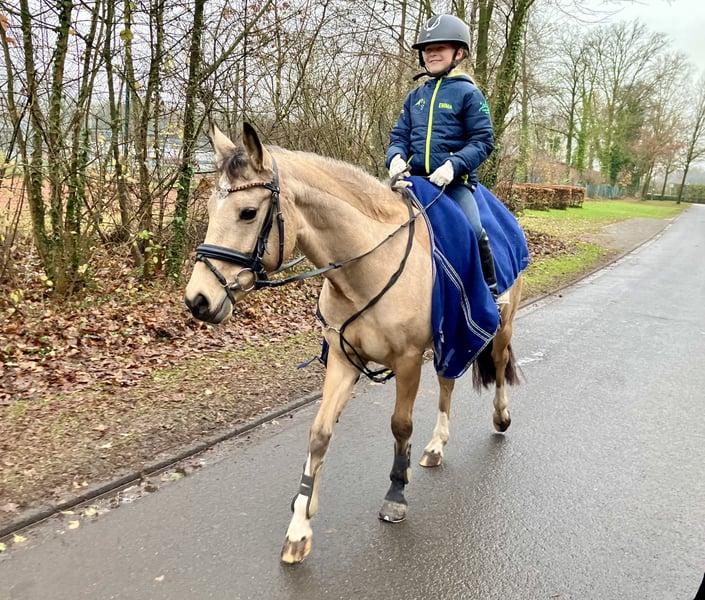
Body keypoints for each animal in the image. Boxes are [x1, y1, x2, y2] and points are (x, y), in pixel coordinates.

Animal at [184, 123, 523, 564]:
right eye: (210, 208)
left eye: (248, 212)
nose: (198, 300)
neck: (366, 264)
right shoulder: (344, 361)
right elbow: (319, 433)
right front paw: (300, 523)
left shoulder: (407, 360)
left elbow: (400, 425)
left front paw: (396, 493)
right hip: (448, 337)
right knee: (447, 381)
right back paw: (436, 446)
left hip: (501, 327)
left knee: (496, 366)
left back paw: (500, 417)